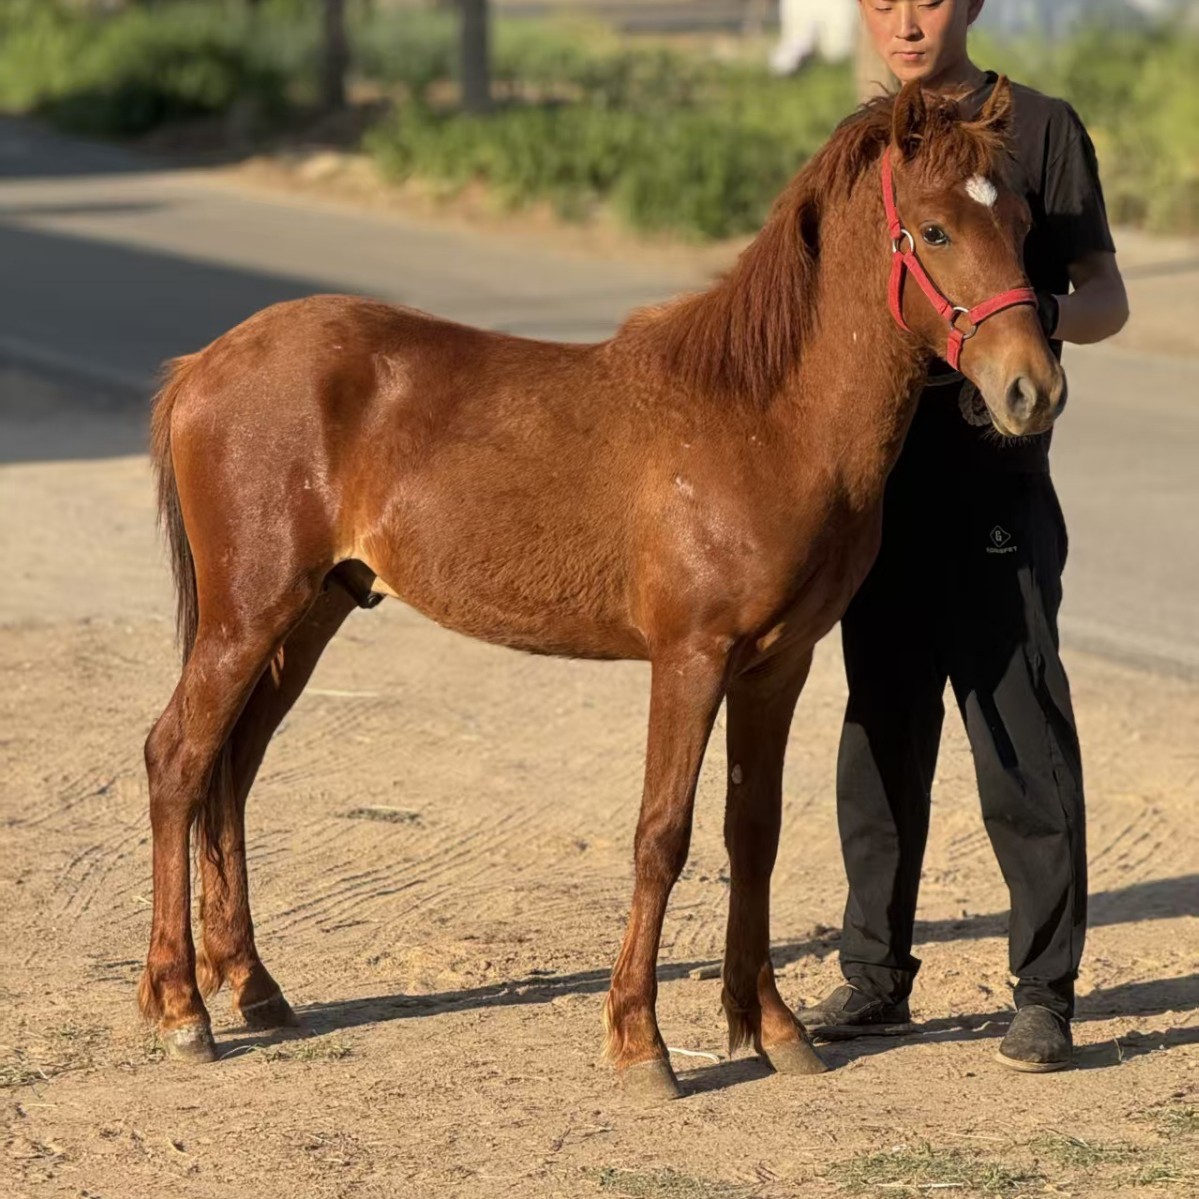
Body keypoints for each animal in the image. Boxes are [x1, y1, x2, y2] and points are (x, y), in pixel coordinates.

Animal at [138, 78, 1065, 1099]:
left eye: (1023, 222)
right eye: (934, 229)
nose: (1032, 390)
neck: (762, 417)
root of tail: (204, 365)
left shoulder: (776, 667)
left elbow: (754, 832)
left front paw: (771, 1027)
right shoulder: (690, 659)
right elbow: (662, 834)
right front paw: (639, 1040)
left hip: (307, 615)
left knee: (232, 772)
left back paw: (254, 989)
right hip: (248, 614)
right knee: (178, 760)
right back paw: (182, 1009)